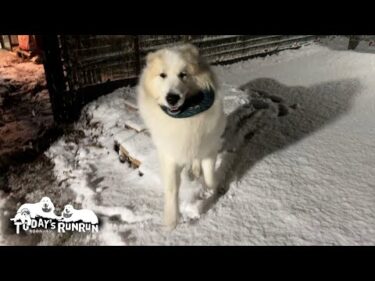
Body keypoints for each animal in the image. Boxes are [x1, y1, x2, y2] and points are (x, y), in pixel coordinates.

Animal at [137, 43, 226, 228]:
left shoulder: (208, 149)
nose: (172, 98)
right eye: (163, 75)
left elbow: (210, 176)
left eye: (183, 75)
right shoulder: (170, 155)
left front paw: (211, 192)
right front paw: (171, 222)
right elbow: (172, 189)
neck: (184, 118)